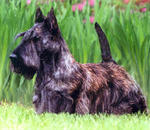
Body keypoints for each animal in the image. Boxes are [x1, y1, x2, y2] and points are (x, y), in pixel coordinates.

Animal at [9, 7, 147, 114]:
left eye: (36, 38)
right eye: (24, 36)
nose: (12, 57)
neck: (50, 71)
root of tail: (111, 63)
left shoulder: (67, 99)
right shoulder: (41, 98)